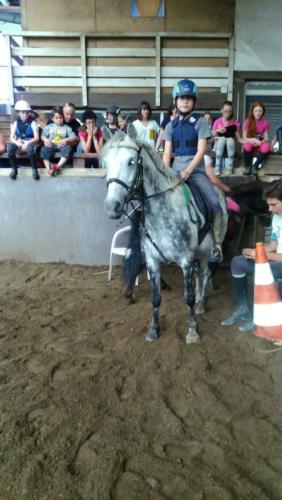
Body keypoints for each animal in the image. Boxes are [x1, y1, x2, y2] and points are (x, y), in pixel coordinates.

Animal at [103, 128, 227, 344]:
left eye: (131, 161)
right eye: (107, 161)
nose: (112, 207)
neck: (162, 212)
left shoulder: (185, 261)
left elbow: (187, 298)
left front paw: (192, 332)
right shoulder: (153, 262)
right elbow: (155, 298)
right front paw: (153, 331)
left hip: (209, 250)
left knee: (205, 274)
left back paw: (201, 304)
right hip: (198, 252)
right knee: (200, 272)